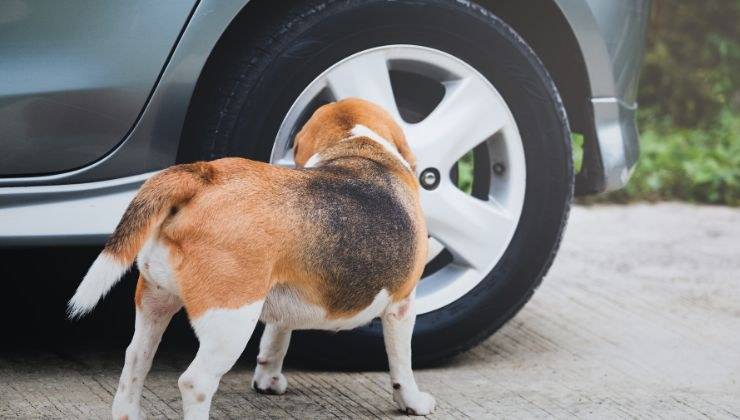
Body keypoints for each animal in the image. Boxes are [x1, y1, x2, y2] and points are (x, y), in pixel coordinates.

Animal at [68, 97, 434, 416]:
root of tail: (203, 177)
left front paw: (268, 380)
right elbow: (402, 363)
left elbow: (276, 336)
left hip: (154, 299)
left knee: (135, 358)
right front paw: (412, 402)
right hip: (230, 321)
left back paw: (127, 411)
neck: (358, 147)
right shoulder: (402, 305)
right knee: (194, 382)